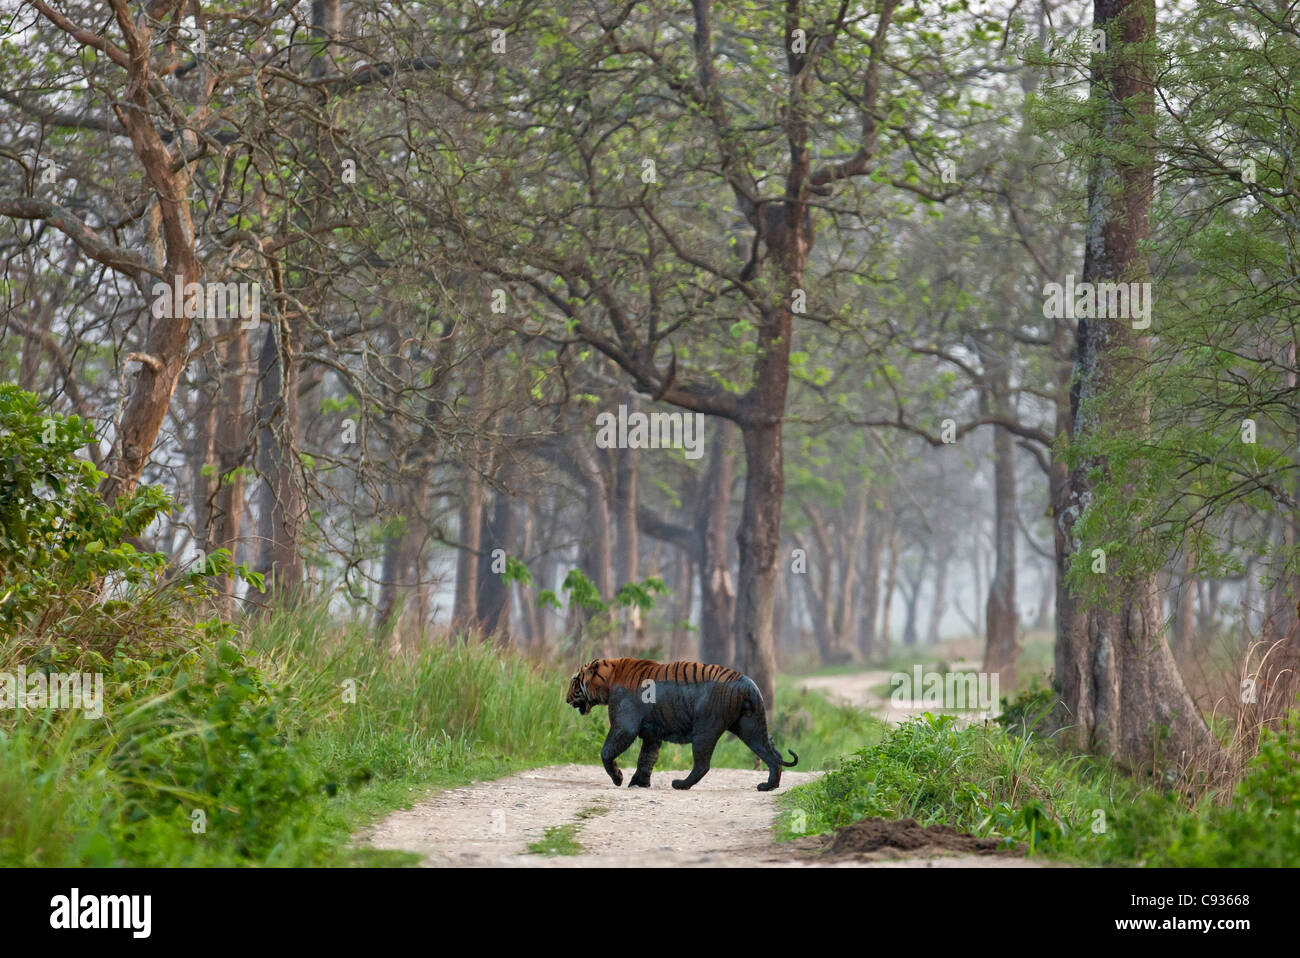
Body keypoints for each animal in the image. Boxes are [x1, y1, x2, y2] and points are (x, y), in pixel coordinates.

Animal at [564, 657, 795, 790]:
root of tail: (746, 682)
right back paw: (769, 786)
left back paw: (681, 784)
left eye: (574, 682)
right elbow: (646, 758)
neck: (609, 677)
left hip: (705, 729)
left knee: (702, 765)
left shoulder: (624, 727)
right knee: (772, 756)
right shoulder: (652, 735)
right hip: (750, 727)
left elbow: (606, 752)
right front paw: (639, 783)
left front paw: (619, 778)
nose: (566, 700)